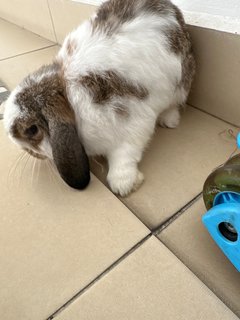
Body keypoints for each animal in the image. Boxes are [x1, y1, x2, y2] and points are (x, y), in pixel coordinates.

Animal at [3, 0, 195, 196]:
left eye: (31, 130)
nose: (30, 153)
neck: (68, 97)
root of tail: (172, 8)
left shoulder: (133, 123)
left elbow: (125, 153)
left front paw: (124, 185)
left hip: (181, 82)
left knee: (174, 103)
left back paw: (169, 120)